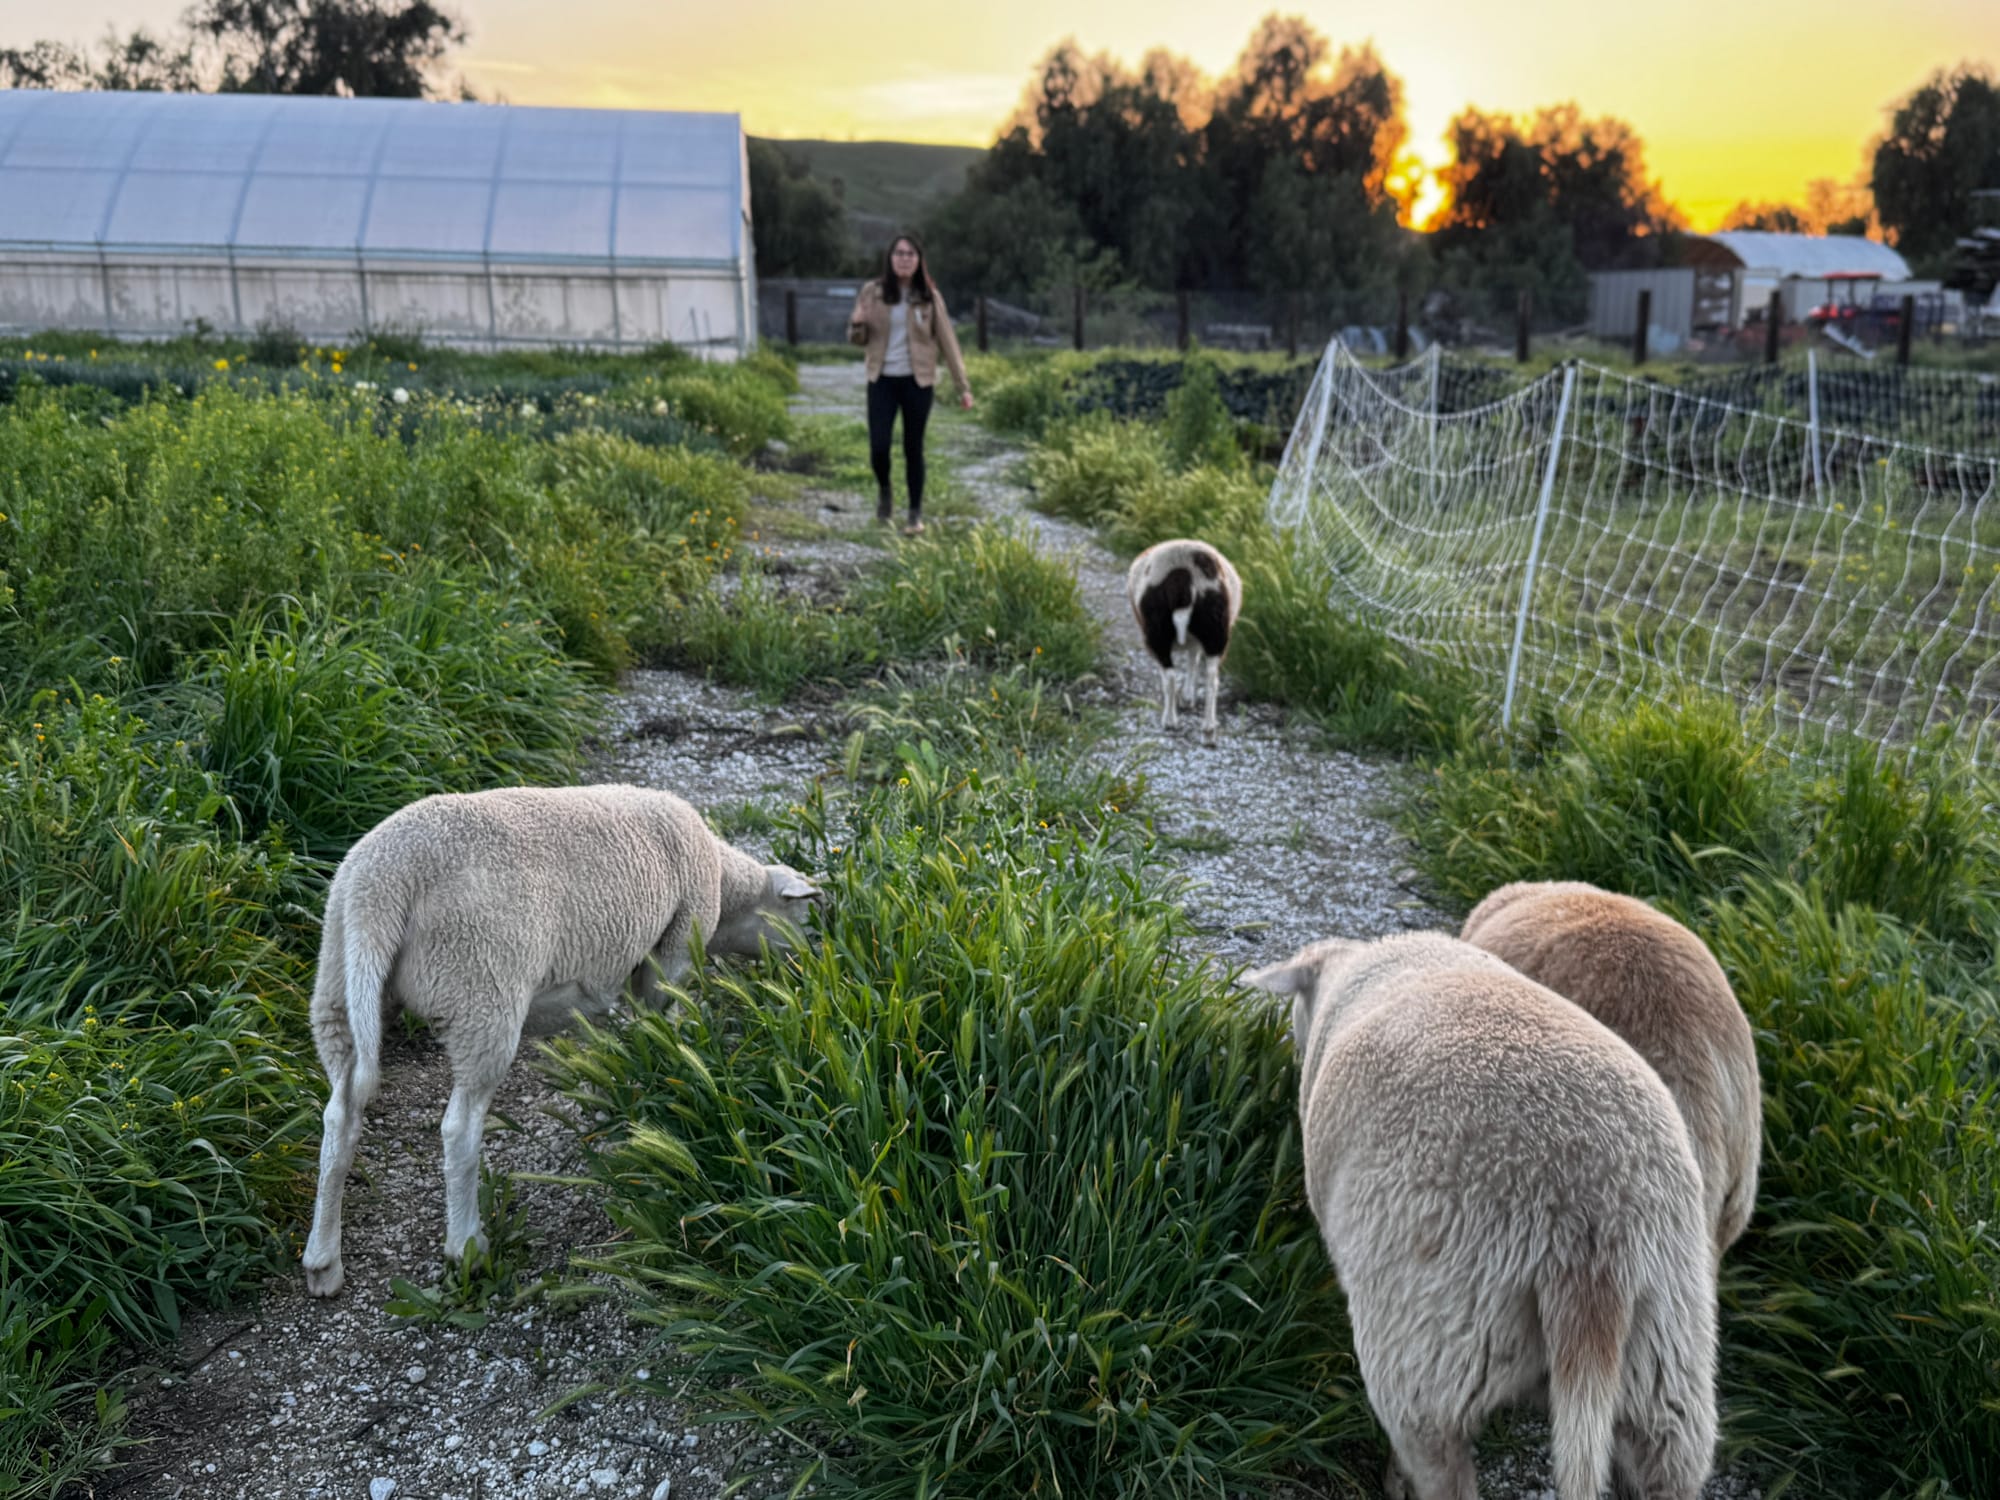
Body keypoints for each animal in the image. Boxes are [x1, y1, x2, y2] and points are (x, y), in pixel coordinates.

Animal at [300, 784, 820, 1298]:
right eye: (805, 916)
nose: (809, 965)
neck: (727, 888)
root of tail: (381, 886)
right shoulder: (670, 955)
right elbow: (659, 1022)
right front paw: (665, 1076)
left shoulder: (613, 968)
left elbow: (609, 1038)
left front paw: (608, 1095)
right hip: (479, 989)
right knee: (459, 1128)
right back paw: (467, 1247)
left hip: (339, 990)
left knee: (340, 1118)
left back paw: (324, 1262)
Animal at [1125, 539, 1242, 745]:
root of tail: (1183, 574)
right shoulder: (1196, 642)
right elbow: (1193, 660)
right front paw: (1188, 698)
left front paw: (1185, 700)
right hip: (1215, 631)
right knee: (1212, 678)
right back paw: (1209, 730)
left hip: (1157, 631)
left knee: (1170, 677)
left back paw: (1170, 721)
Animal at [1244, 932, 1716, 1500]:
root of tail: (1592, 1230)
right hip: (1669, 1359)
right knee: (1667, 1460)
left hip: (1433, 1345)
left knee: (1438, 1460)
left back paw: (1399, 1480)